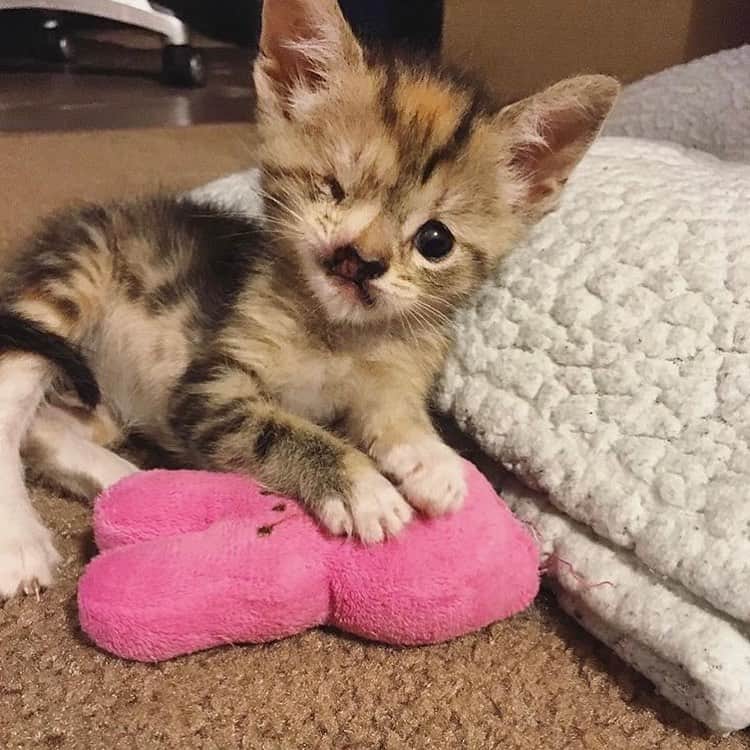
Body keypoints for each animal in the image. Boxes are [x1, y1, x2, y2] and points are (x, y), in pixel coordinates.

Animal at [0, 0, 620, 600]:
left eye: (435, 240)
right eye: (333, 189)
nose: (359, 260)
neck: (337, 333)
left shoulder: (397, 366)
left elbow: (392, 410)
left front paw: (430, 457)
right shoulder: (210, 387)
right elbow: (276, 428)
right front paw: (362, 487)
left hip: (98, 402)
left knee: (44, 428)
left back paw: (131, 480)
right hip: (71, 279)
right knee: (11, 394)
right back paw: (21, 542)